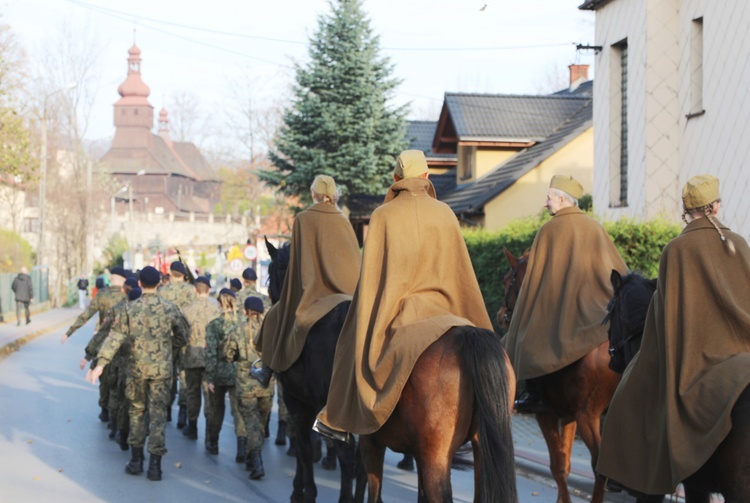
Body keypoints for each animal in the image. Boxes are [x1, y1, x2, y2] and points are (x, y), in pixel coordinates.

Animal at [356, 324, 520, 502]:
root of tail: (469, 334)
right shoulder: (418, 453)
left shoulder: (370, 442)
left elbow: (372, 490)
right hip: (480, 455)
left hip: (435, 460)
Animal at [500, 248, 624, 503]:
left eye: (507, 282)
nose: (500, 314)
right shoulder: (568, 415)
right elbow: (565, 462)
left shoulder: (546, 414)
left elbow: (557, 466)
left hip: (589, 416)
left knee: (599, 466)